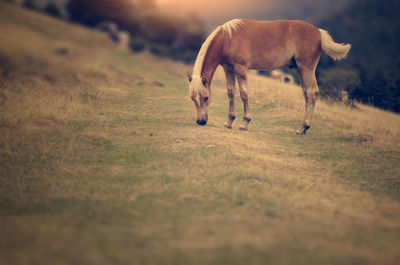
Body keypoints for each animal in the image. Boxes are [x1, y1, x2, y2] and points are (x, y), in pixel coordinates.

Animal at [188, 19, 350, 134]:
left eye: (206, 98)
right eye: (193, 99)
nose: (200, 121)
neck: (228, 38)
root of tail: (318, 32)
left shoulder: (241, 69)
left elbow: (244, 93)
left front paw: (244, 123)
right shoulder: (229, 70)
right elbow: (231, 93)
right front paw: (229, 122)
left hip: (307, 68)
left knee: (312, 93)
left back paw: (303, 127)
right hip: (299, 69)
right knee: (306, 94)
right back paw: (302, 128)